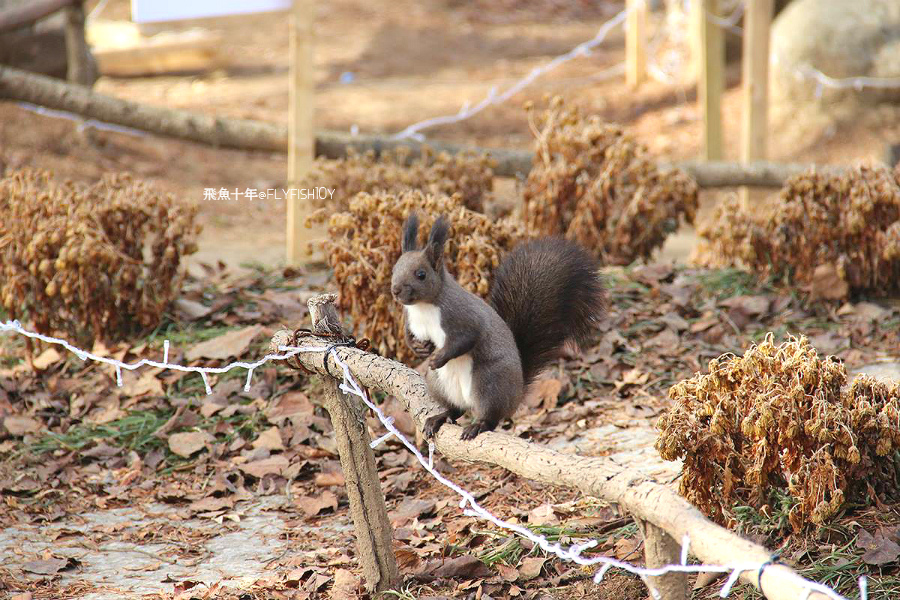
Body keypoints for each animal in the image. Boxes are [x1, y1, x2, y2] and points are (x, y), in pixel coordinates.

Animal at [388, 214, 604, 440]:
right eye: (394, 269)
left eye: (421, 274)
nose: (395, 290)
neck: (423, 307)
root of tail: (517, 394)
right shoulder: (410, 320)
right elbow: (408, 336)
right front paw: (418, 348)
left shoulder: (461, 317)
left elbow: (465, 340)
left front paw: (438, 357)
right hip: (438, 384)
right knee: (456, 410)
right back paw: (440, 417)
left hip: (489, 383)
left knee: (491, 417)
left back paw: (479, 425)